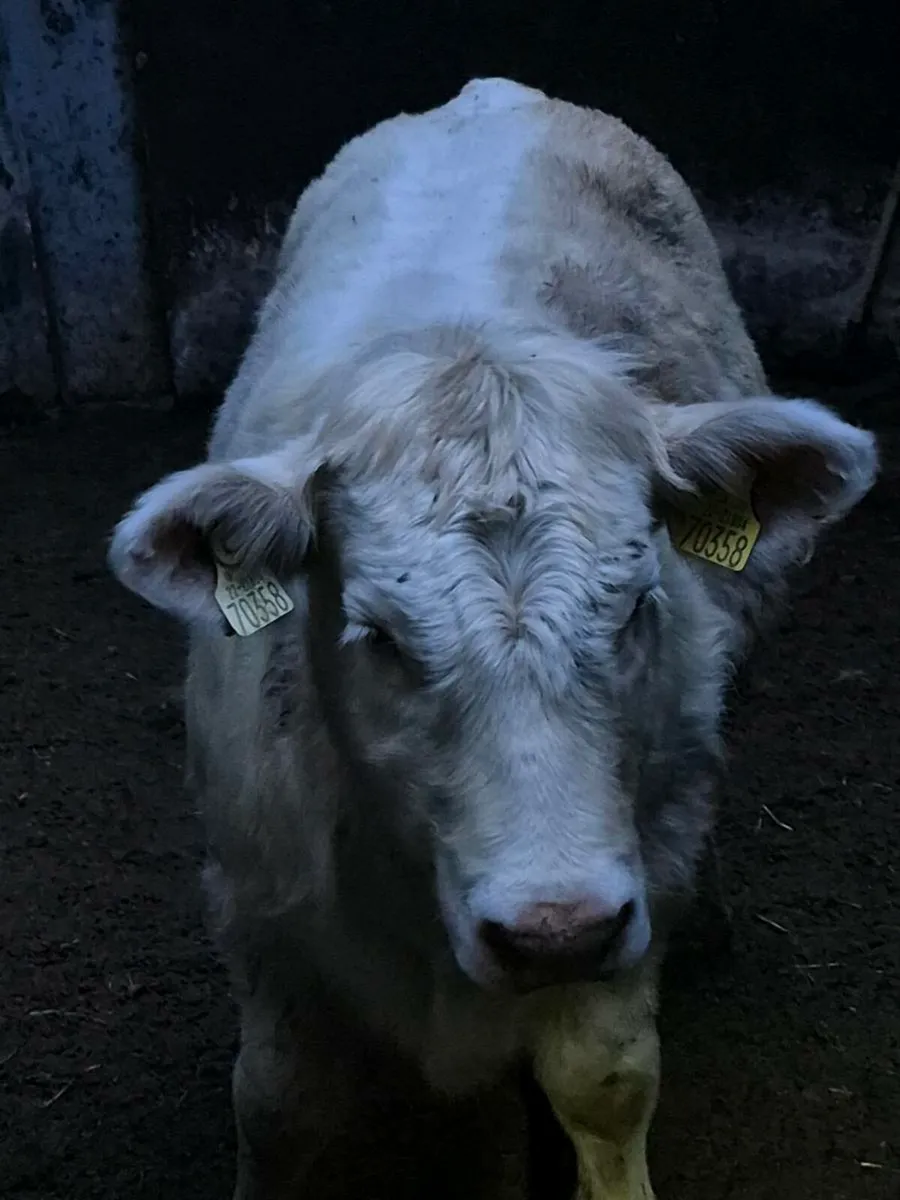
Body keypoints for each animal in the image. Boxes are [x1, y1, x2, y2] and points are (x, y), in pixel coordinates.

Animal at [108, 78, 878, 1199]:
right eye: (381, 637)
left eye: (638, 607)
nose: (556, 930)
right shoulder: (263, 912)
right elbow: (278, 1106)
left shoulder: (629, 889)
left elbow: (604, 1083)